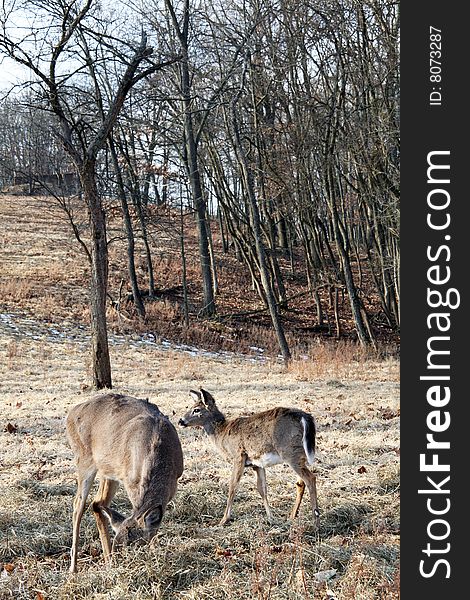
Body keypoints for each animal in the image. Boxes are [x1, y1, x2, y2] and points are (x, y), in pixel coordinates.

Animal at [66, 394, 184, 572]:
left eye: (133, 544)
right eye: (118, 544)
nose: (124, 563)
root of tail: (71, 414)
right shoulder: (131, 484)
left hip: (108, 470)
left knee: (97, 503)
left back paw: (107, 560)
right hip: (84, 459)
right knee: (78, 505)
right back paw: (74, 567)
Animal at [177, 390, 320, 524]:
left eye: (196, 410)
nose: (180, 421)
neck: (222, 433)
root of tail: (305, 417)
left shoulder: (238, 456)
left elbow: (232, 487)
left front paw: (224, 519)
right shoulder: (257, 464)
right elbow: (262, 490)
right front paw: (271, 518)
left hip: (290, 452)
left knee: (310, 478)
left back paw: (315, 519)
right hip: (300, 454)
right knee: (300, 482)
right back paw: (292, 516)